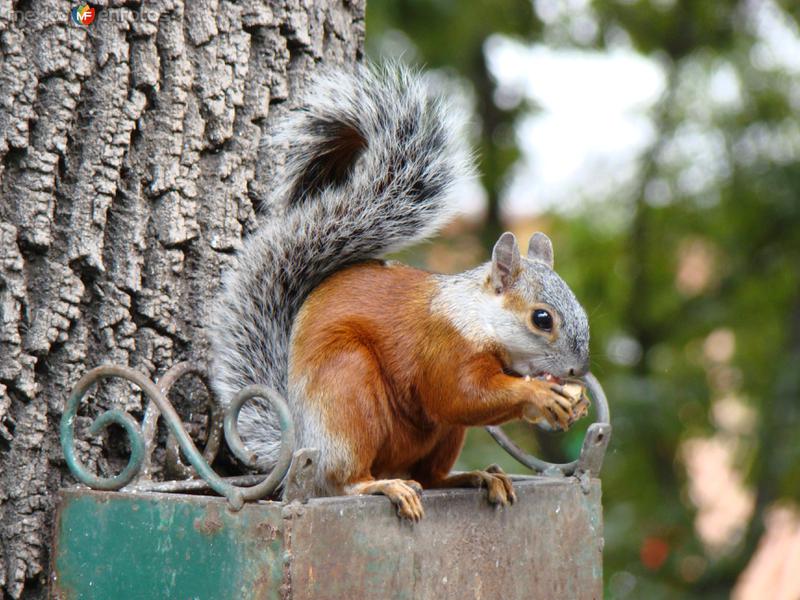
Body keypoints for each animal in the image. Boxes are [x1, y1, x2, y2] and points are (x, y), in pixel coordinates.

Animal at [209, 62, 592, 520]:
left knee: (430, 476)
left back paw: (476, 477)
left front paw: (572, 404)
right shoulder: (442, 349)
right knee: (342, 481)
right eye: (541, 319)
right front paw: (537, 393)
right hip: (349, 392)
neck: (477, 319)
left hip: (441, 437)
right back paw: (382, 486)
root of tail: (303, 440)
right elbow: (460, 396)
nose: (578, 371)